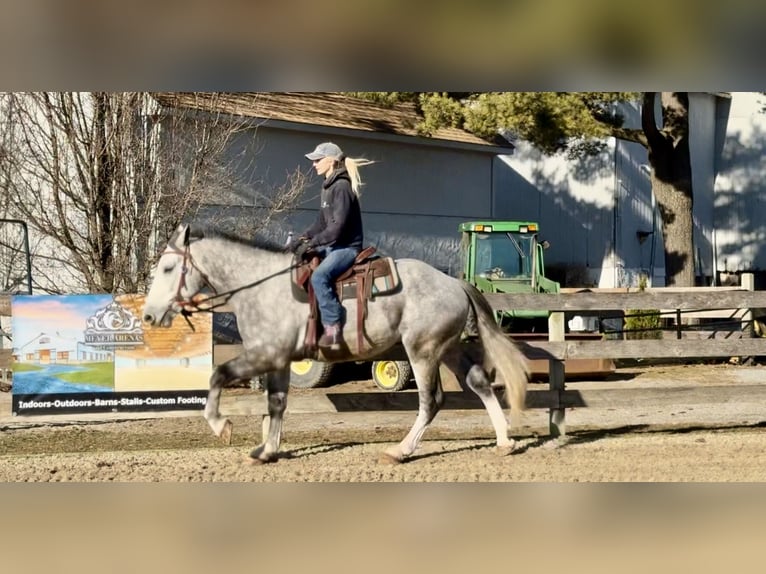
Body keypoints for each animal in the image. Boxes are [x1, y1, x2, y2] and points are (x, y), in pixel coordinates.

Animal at [142, 224, 529, 464]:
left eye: (168, 268)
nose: (148, 315)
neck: (259, 286)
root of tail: (454, 283)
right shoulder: (279, 360)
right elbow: (277, 403)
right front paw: (267, 451)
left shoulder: (266, 354)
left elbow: (218, 375)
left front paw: (221, 426)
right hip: (449, 349)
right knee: (479, 383)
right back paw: (504, 442)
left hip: (423, 351)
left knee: (431, 401)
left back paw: (400, 451)